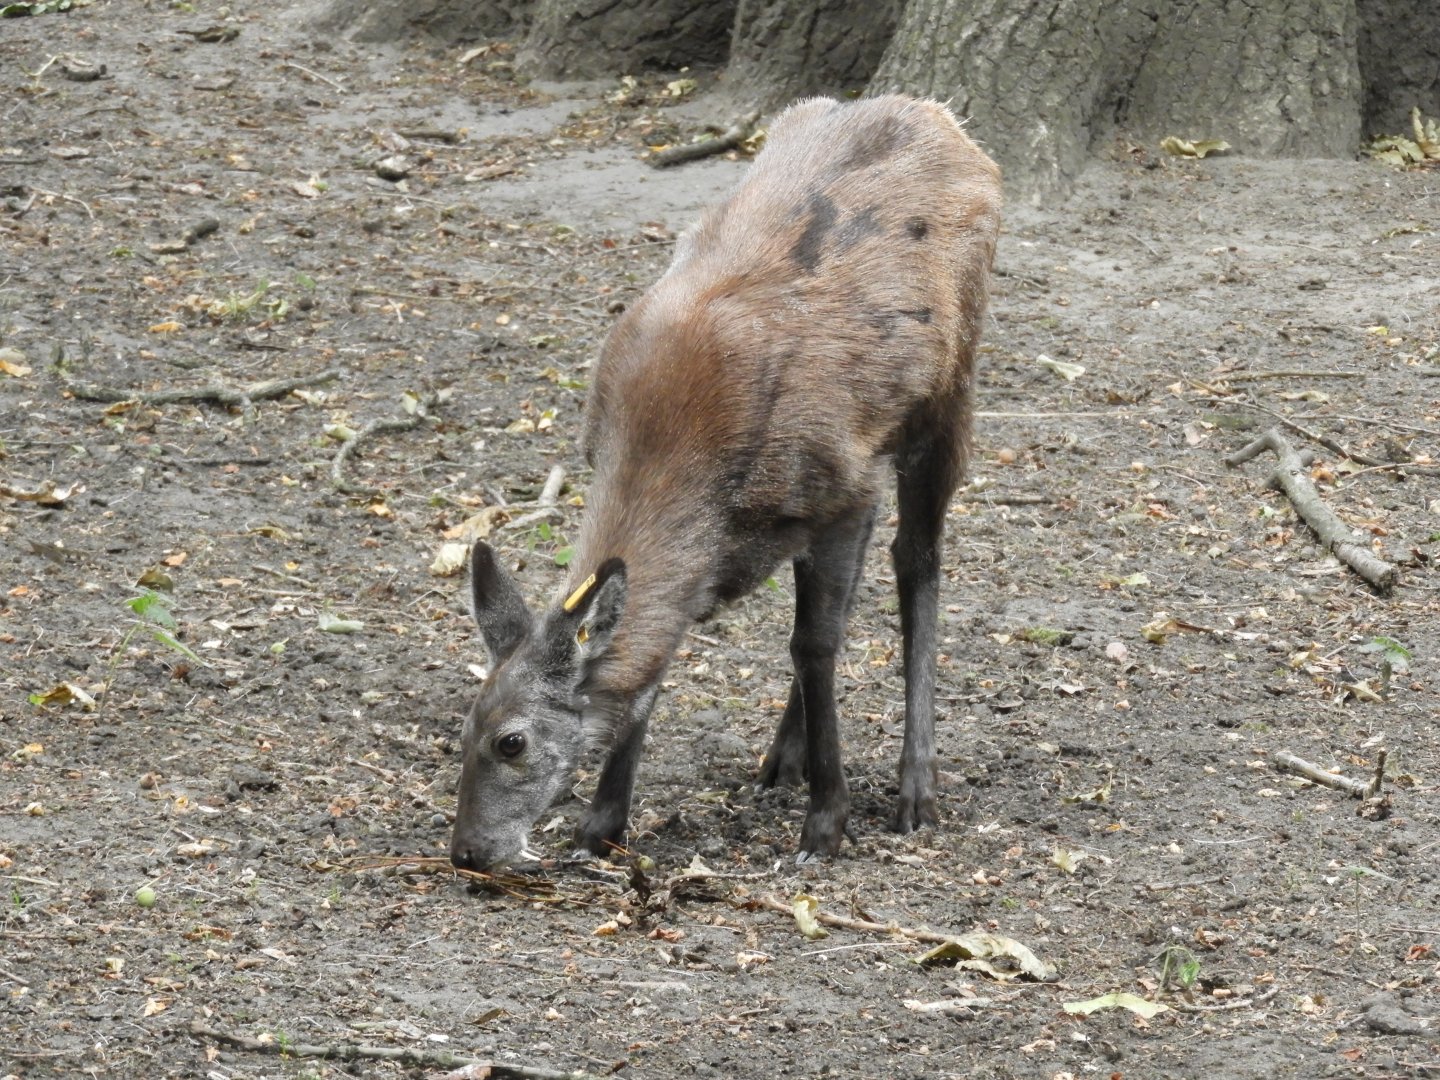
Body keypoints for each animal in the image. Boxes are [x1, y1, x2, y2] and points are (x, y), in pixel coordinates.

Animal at [450, 94, 1002, 870]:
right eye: (466, 726)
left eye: (512, 741)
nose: (465, 850)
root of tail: (945, 119)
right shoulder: (812, 508)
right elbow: (661, 661)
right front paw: (604, 823)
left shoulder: (841, 484)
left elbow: (814, 644)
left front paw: (826, 823)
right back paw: (782, 760)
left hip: (949, 388)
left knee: (917, 559)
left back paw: (914, 787)